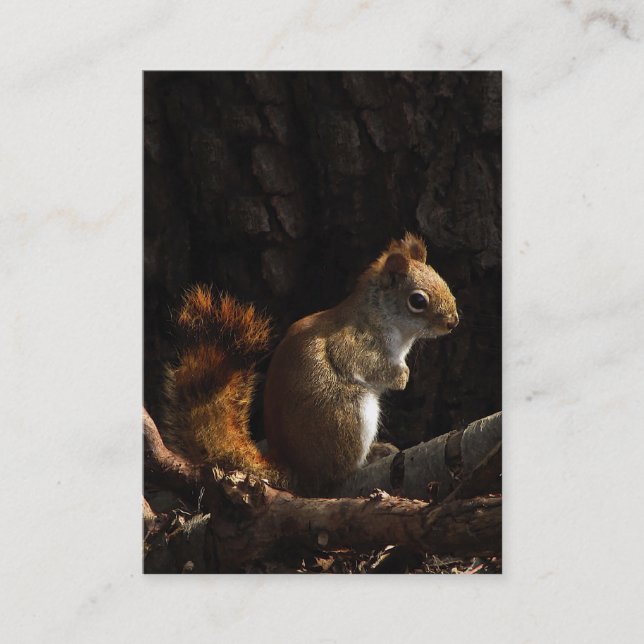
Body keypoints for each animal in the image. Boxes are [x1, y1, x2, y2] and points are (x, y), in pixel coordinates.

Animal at [161, 233, 458, 496]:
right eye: (417, 301)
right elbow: (366, 364)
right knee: (336, 474)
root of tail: (299, 472)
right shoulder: (352, 344)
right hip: (349, 415)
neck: (381, 316)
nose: (453, 322)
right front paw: (401, 376)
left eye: (443, 280)